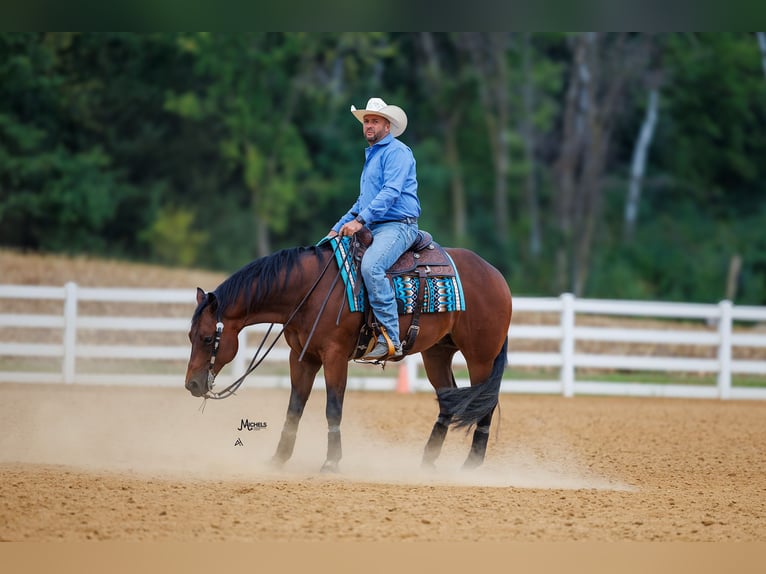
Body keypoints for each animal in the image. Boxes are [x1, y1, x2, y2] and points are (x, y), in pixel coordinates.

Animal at [184, 235, 512, 472]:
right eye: (189, 336)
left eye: (206, 338)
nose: (192, 384)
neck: (310, 292)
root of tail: (496, 275)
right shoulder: (302, 356)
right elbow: (295, 407)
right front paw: (279, 458)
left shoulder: (335, 356)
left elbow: (333, 407)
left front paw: (331, 461)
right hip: (437, 352)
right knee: (447, 400)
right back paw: (427, 462)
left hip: (480, 356)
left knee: (485, 401)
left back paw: (471, 464)